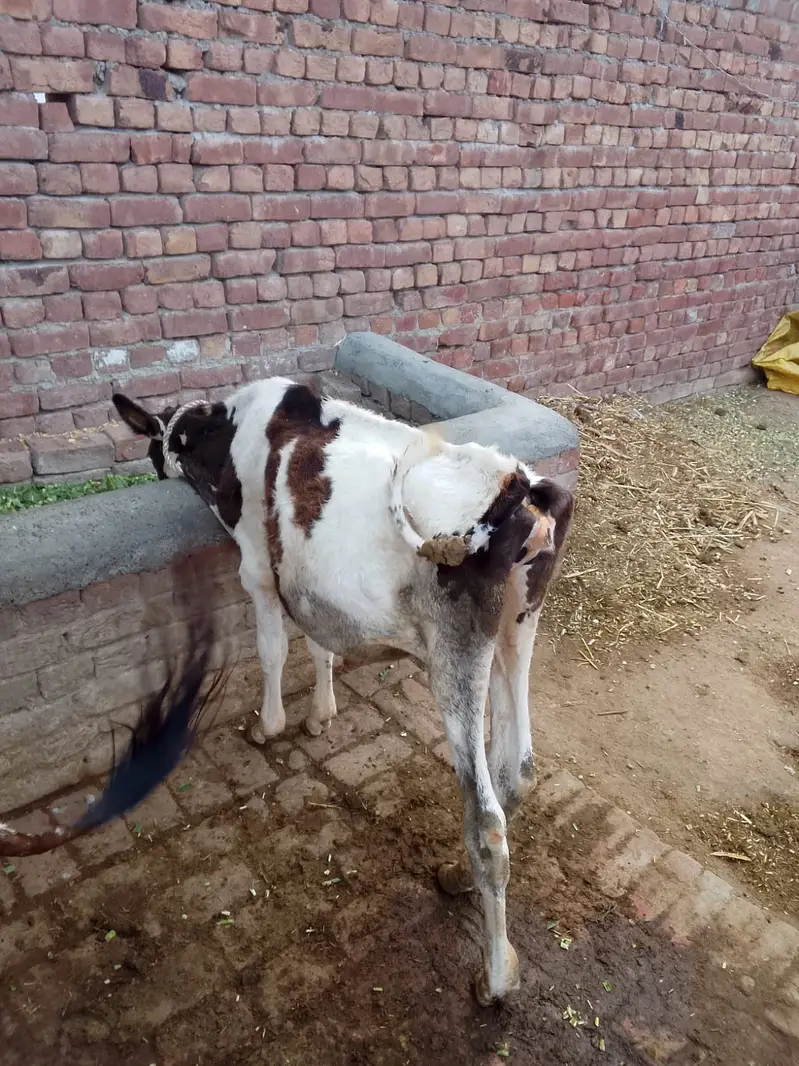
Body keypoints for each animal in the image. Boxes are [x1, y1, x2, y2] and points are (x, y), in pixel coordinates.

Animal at [3, 376, 573, 1006]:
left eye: (152, 451)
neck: (231, 427)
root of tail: (516, 483)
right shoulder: (309, 581)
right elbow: (319, 645)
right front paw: (321, 714)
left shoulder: (255, 566)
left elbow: (272, 649)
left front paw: (267, 725)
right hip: (518, 626)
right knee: (517, 768)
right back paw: (456, 873)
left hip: (457, 651)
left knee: (487, 818)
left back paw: (495, 976)